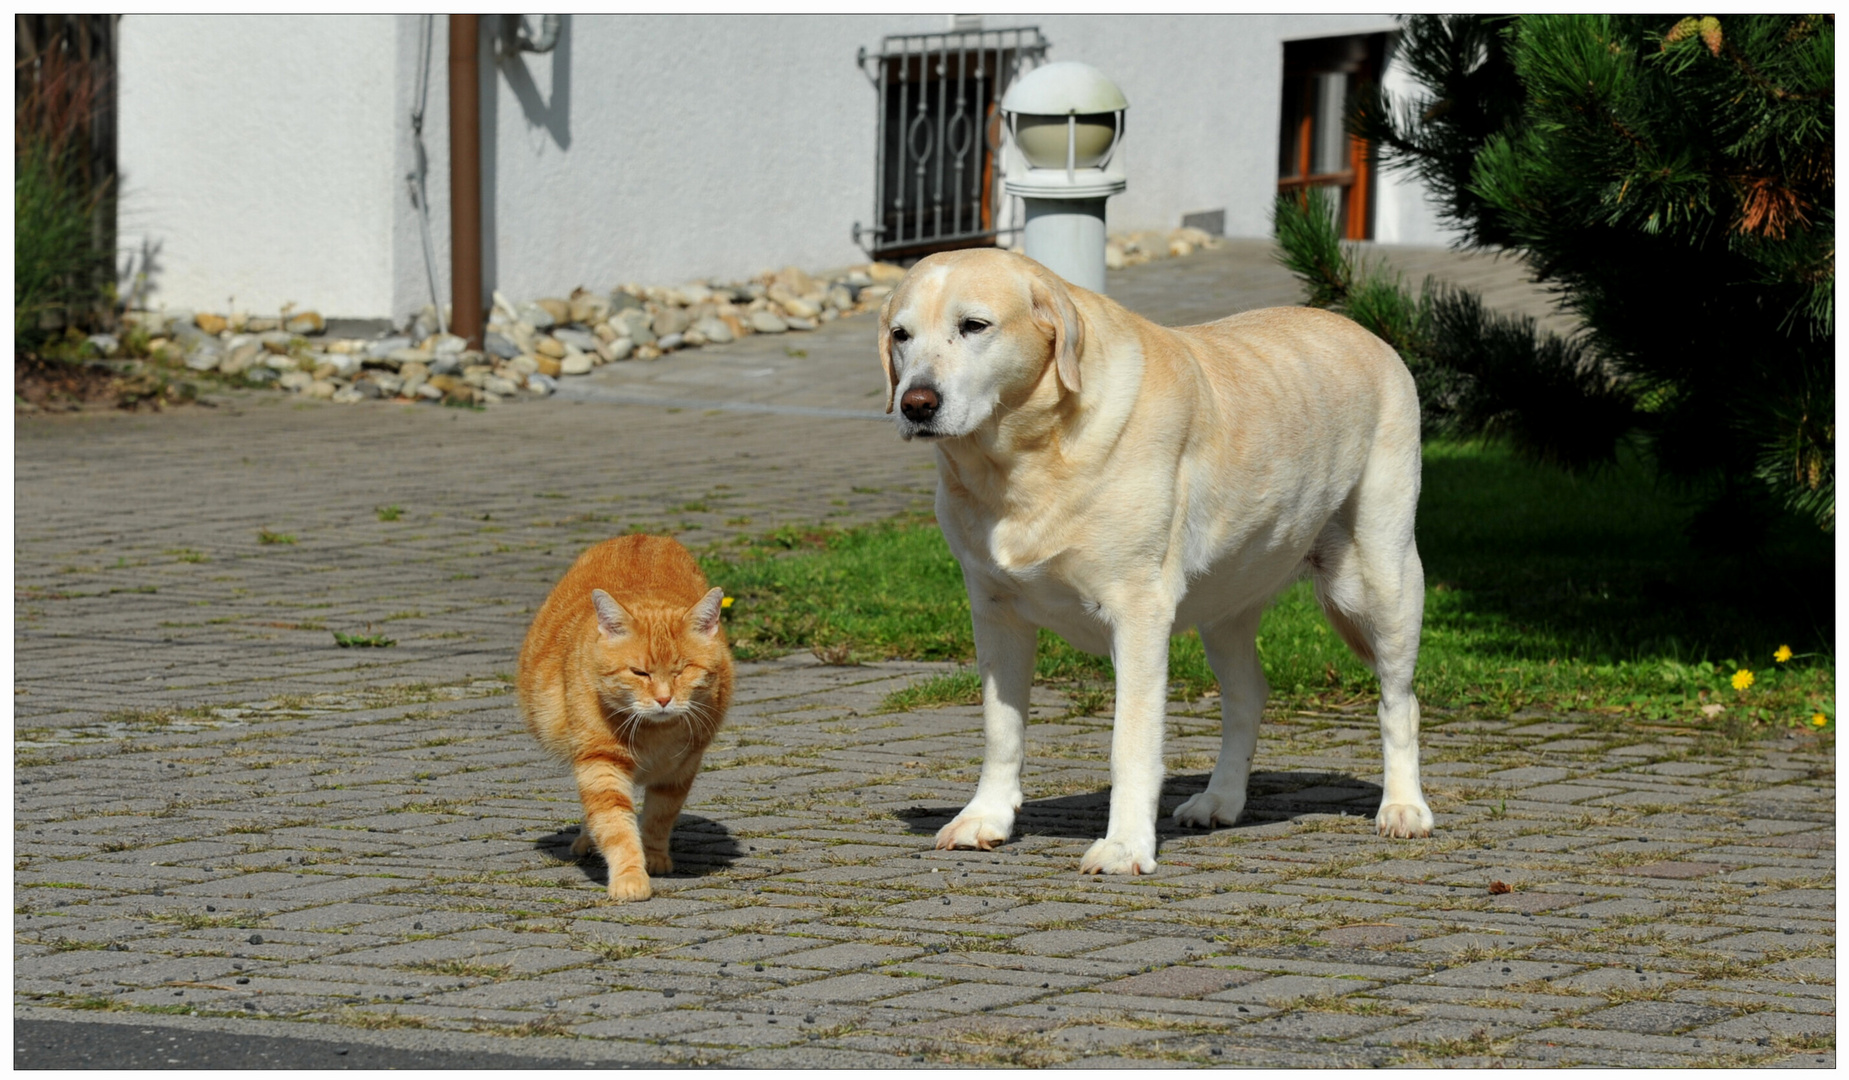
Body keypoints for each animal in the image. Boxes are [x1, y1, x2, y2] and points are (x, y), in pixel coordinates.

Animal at [517, 532, 732, 902]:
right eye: (639, 672)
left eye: (682, 670)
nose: (664, 699)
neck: (654, 734)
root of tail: (642, 536)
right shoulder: (600, 762)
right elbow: (615, 825)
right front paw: (630, 876)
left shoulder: (681, 769)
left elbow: (659, 817)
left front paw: (655, 857)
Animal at [880, 249, 1427, 872]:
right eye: (900, 335)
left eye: (974, 325)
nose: (916, 403)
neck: (1022, 462)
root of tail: (1367, 333)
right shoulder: (994, 611)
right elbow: (1002, 729)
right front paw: (985, 818)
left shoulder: (1138, 611)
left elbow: (1131, 744)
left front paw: (1124, 846)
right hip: (1227, 602)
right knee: (1248, 695)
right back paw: (1219, 800)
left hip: (1379, 579)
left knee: (1399, 701)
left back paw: (1404, 808)